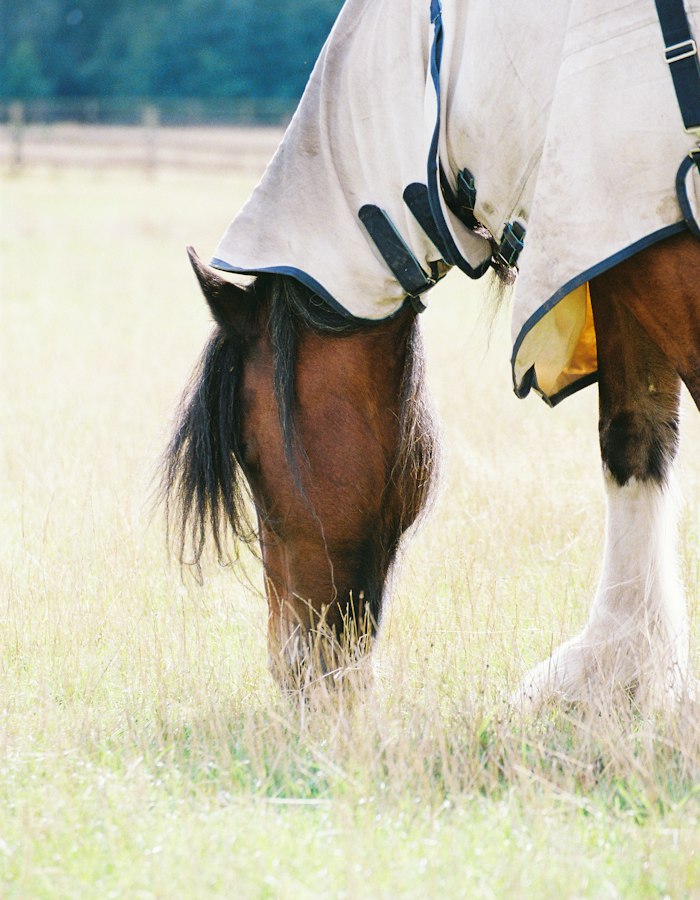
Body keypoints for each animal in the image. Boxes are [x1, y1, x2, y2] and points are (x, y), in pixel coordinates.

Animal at [161, 0, 700, 706]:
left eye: (249, 452)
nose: (291, 668)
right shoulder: (612, 253)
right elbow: (634, 441)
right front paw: (613, 670)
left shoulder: (643, 238)